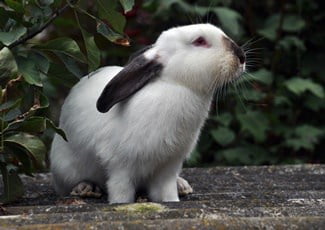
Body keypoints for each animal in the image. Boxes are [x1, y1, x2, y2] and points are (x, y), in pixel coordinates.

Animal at [49, 22, 244, 203]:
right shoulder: (120, 166)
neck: (176, 85)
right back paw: (85, 187)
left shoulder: (169, 166)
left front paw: (172, 199)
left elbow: (166, 191)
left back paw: (182, 185)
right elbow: (121, 191)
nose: (241, 57)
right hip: (64, 168)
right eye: (199, 41)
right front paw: (120, 204)